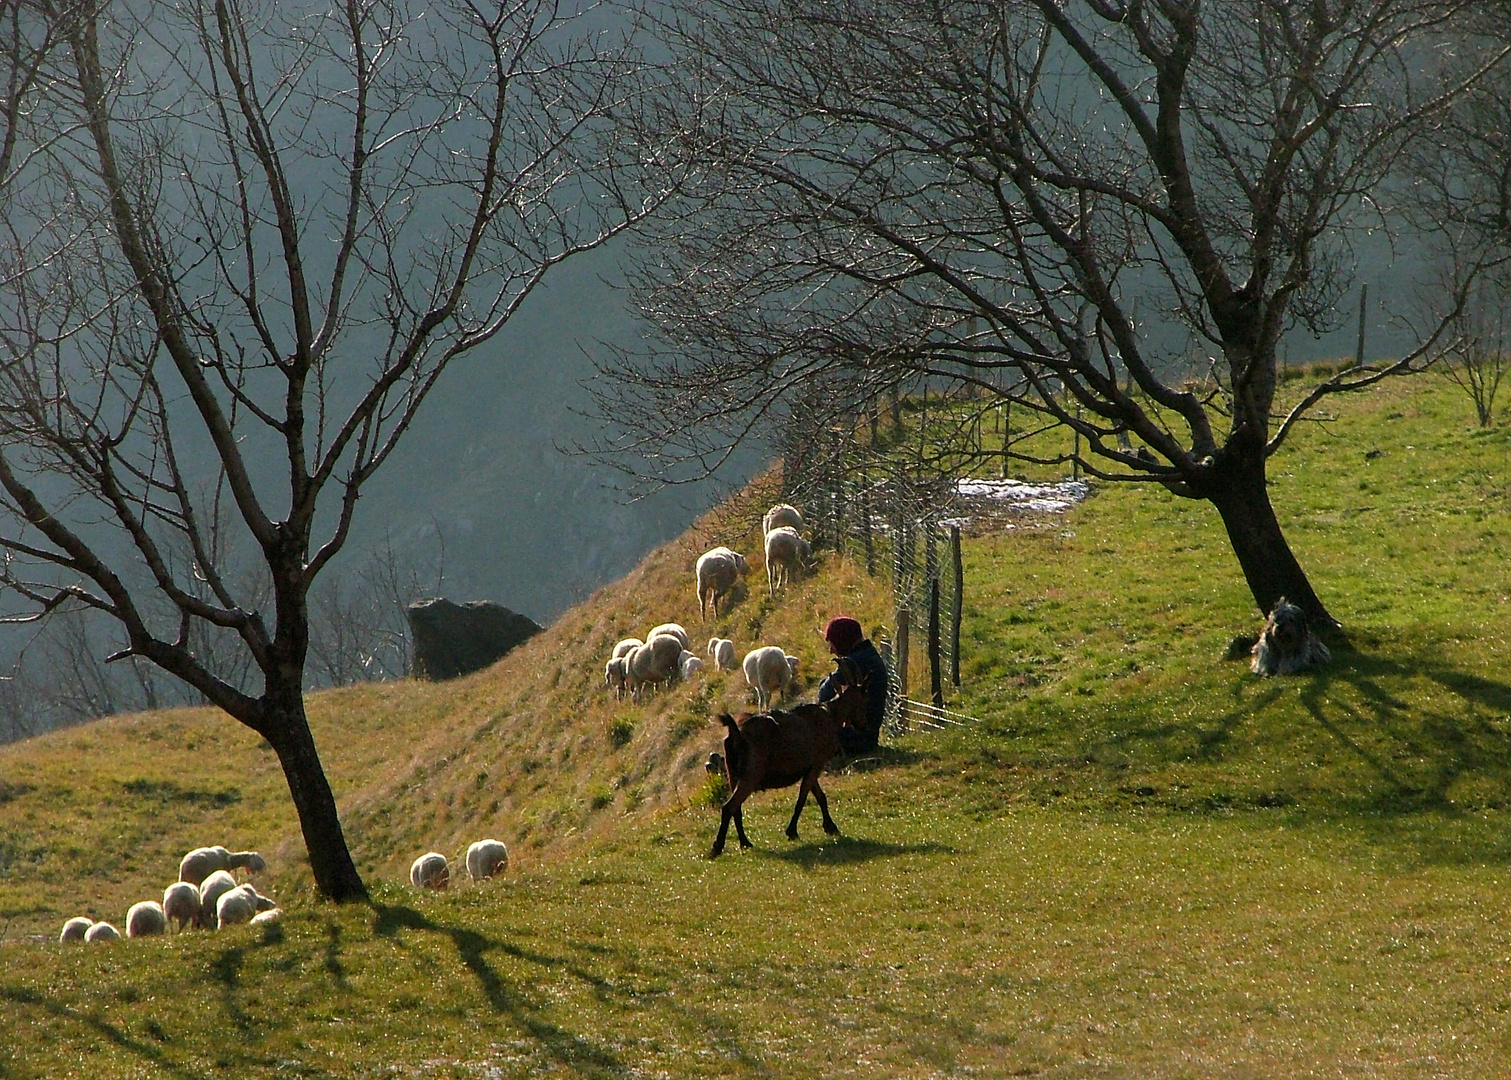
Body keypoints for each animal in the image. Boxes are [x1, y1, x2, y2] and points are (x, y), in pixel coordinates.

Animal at [710, 655, 876, 857]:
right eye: (864, 699)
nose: (863, 725)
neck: (831, 715)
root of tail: (736, 732)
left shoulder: (810, 767)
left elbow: (820, 796)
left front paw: (830, 827)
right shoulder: (817, 764)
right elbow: (803, 798)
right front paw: (792, 831)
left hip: (732, 772)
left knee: (737, 808)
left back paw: (745, 842)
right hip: (751, 773)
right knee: (729, 806)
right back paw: (718, 847)